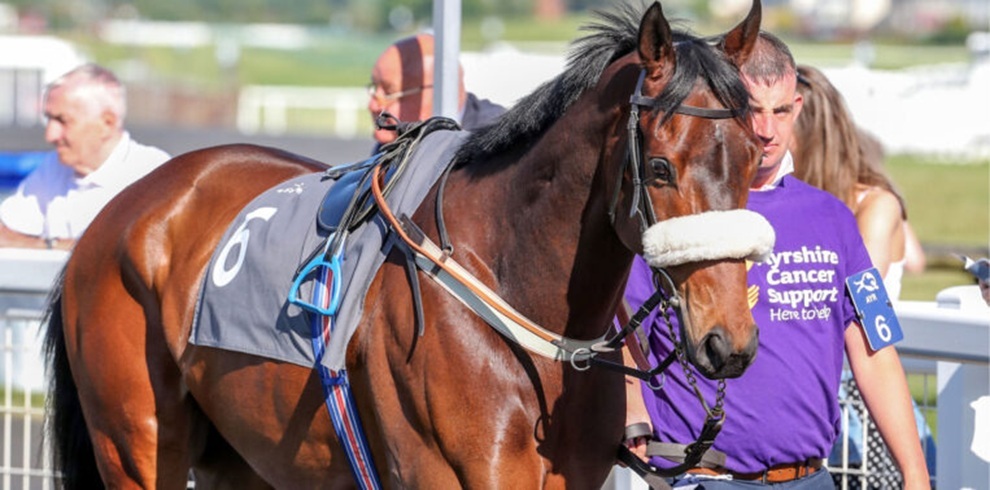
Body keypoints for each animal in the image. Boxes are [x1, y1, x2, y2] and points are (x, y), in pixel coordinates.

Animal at [44, 1, 768, 487]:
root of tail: (118, 213)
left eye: (754, 155)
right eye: (660, 169)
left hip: (243, 452)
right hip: (136, 442)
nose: (727, 340)